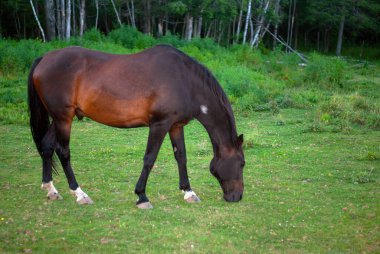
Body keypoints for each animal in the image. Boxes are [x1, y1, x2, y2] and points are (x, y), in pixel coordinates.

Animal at [27, 45, 246, 208]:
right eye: (242, 163)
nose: (237, 197)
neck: (184, 81)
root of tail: (44, 58)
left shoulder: (176, 126)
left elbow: (181, 157)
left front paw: (188, 192)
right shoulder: (159, 124)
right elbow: (149, 159)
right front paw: (142, 196)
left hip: (58, 119)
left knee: (47, 146)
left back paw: (51, 189)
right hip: (63, 118)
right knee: (63, 152)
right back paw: (80, 194)